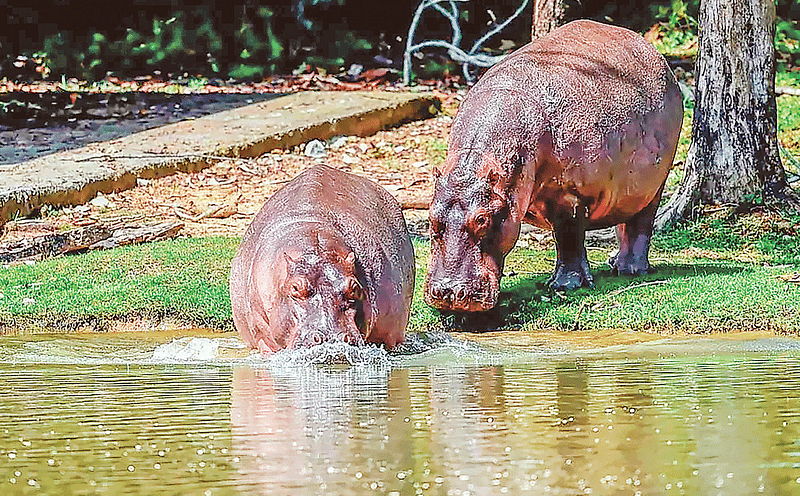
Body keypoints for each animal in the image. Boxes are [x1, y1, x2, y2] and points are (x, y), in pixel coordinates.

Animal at [424, 22, 680, 314]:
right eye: (430, 218)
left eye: (481, 219)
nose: (448, 292)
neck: (478, 161)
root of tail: (652, 51)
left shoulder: (570, 195)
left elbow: (568, 237)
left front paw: (565, 286)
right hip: (629, 189)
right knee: (625, 221)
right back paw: (614, 263)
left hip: (656, 182)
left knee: (641, 222)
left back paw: (631, 270)